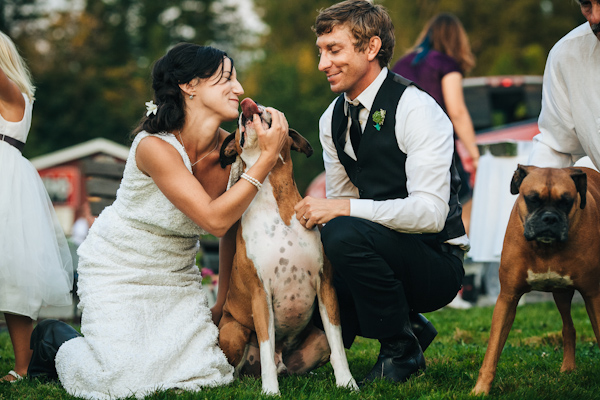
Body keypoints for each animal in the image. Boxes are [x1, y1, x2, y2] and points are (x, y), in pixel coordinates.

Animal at [218, 98, 356, 396]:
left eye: (266, 108)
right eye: (238, 120)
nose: (247, 104)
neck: (276, 199)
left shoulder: (325, 286)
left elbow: (338, 344)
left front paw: (347, 383)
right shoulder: (260, 295)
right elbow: (266, 345)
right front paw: (270, 391)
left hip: (316, 342)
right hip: (233, 331)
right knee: (241, 366)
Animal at [474, 164, 600, 396]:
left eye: (566, 201)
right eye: (532, 198)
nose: (550, 218)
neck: (546, 249)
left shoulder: (593, 296)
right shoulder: (507, 298)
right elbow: (493, 349)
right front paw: (480, 389)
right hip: (561, 294)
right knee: (568, 327)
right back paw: (568, 368)